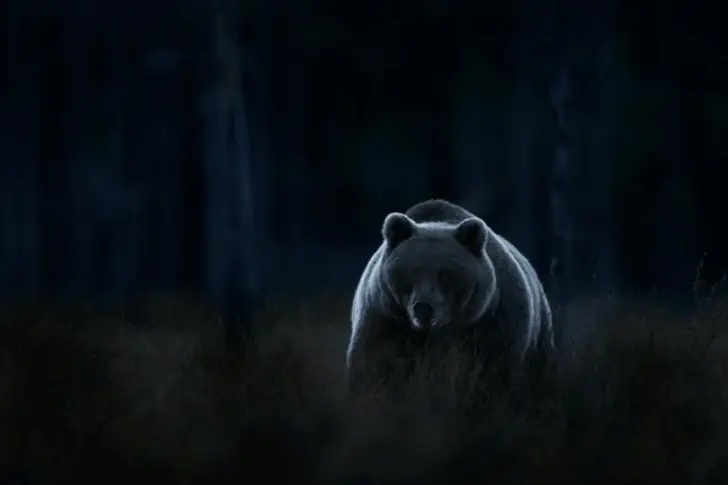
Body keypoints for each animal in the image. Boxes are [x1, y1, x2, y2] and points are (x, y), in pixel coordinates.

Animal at [346, 199, 557, 408]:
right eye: (411, 272)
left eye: (445, 275)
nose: (423, 308)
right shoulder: (386, 320)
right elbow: (374, 368)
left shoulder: (492, 325)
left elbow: (493, 376)